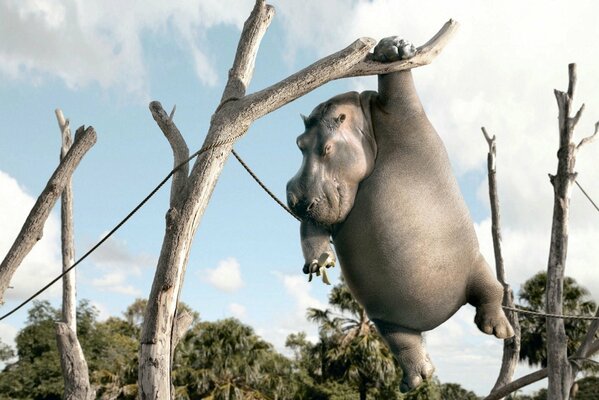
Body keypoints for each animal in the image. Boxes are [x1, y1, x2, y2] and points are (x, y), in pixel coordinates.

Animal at [286, 37, 516, 394]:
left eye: (326, 148)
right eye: (299, 143)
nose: (294, 200)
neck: (362, 120)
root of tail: (437, 318)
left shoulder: (400, 110)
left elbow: (398, 82)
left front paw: (392, 48)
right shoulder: (323, 208)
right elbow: (313, 230)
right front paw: (318, 263)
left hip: (476, 264)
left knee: (491, 292)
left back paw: (498, 330)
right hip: (387, 318)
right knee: (406, 343)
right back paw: (416, 380)